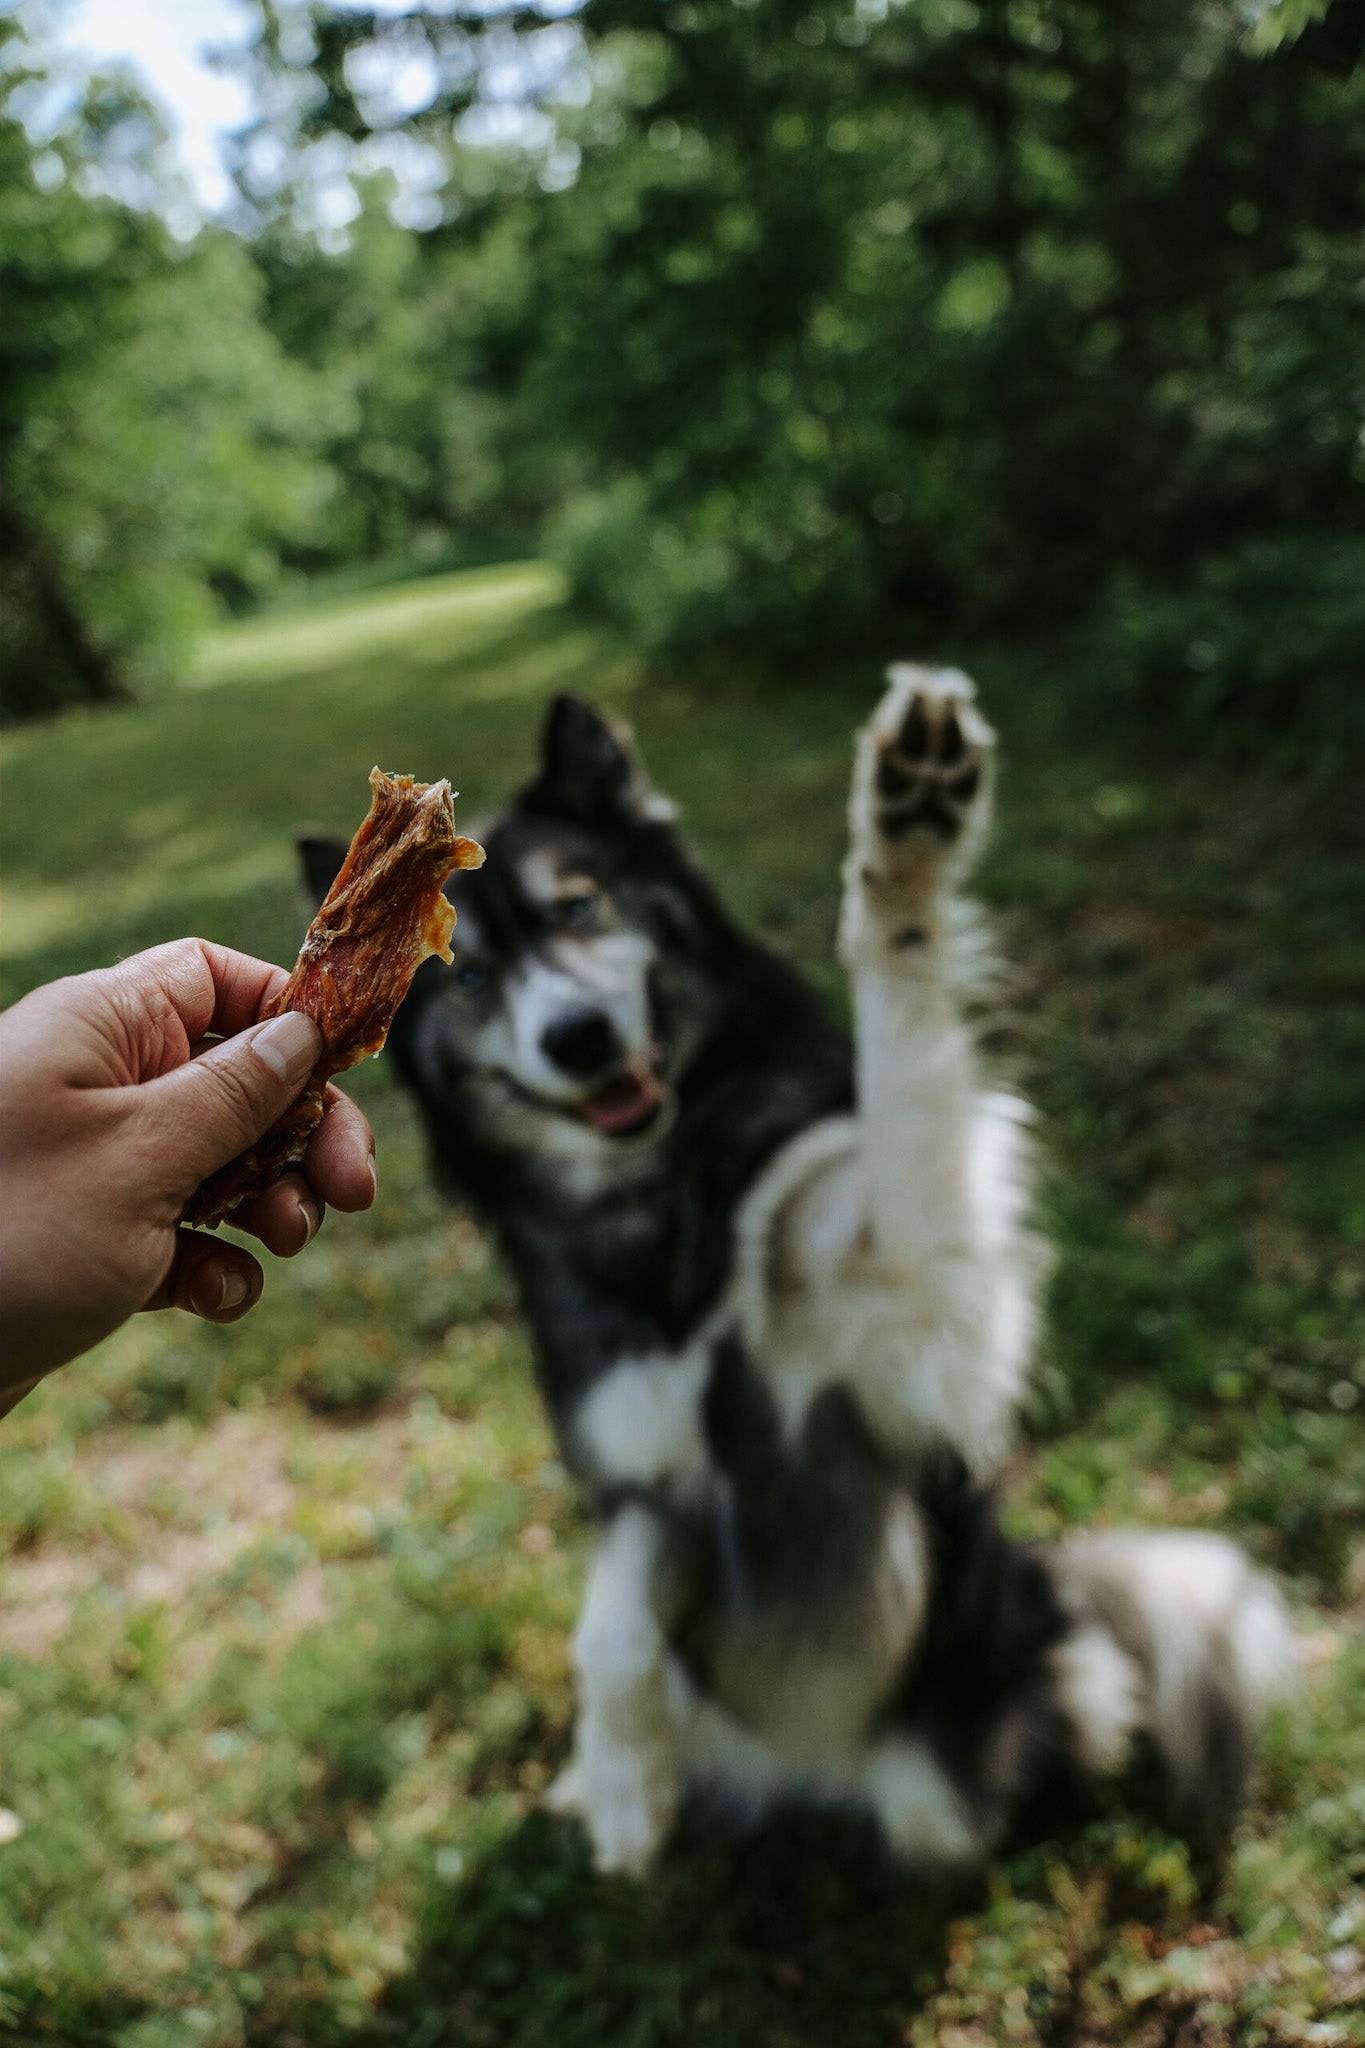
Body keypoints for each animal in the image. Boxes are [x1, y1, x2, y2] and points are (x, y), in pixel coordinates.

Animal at [298, 667, 1293, 1875]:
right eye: (474, 975)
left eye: (581, 908)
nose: (578, 1038)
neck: (676, 1211)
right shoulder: (642, 1463)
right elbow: (609, 1622)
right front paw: (622, 1779)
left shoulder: (919, 1316)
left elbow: (904, 1075)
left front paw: (904, 849)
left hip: (954, 1773)